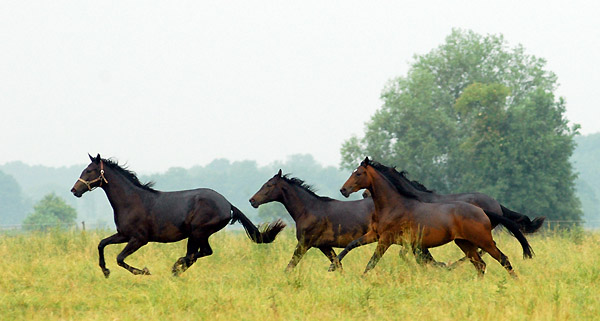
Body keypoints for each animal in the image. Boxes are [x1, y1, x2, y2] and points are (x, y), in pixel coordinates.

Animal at [70, 154, 286, 276]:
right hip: (197, 235)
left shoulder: (139, 239)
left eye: (90, 170)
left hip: (198, 232)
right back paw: (176, 268)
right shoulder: (123, 234)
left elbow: (120, 258)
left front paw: (144, 271)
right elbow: (101, 244)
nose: (74, 190)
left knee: (196, 254)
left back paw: (175, 267)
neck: (131, 200)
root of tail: (227, 203)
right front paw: (105, 271)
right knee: (200, 254)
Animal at [332, 156, 536, 276]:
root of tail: (485, 210)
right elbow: (351, 245)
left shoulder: (387, 239)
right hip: (464, 242)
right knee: (480, 264)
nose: (343, 190)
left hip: (482, 239)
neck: (393, 205)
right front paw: (333, 266)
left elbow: (373, 262)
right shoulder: (375, 235)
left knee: (502, 259)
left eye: (359, 173)